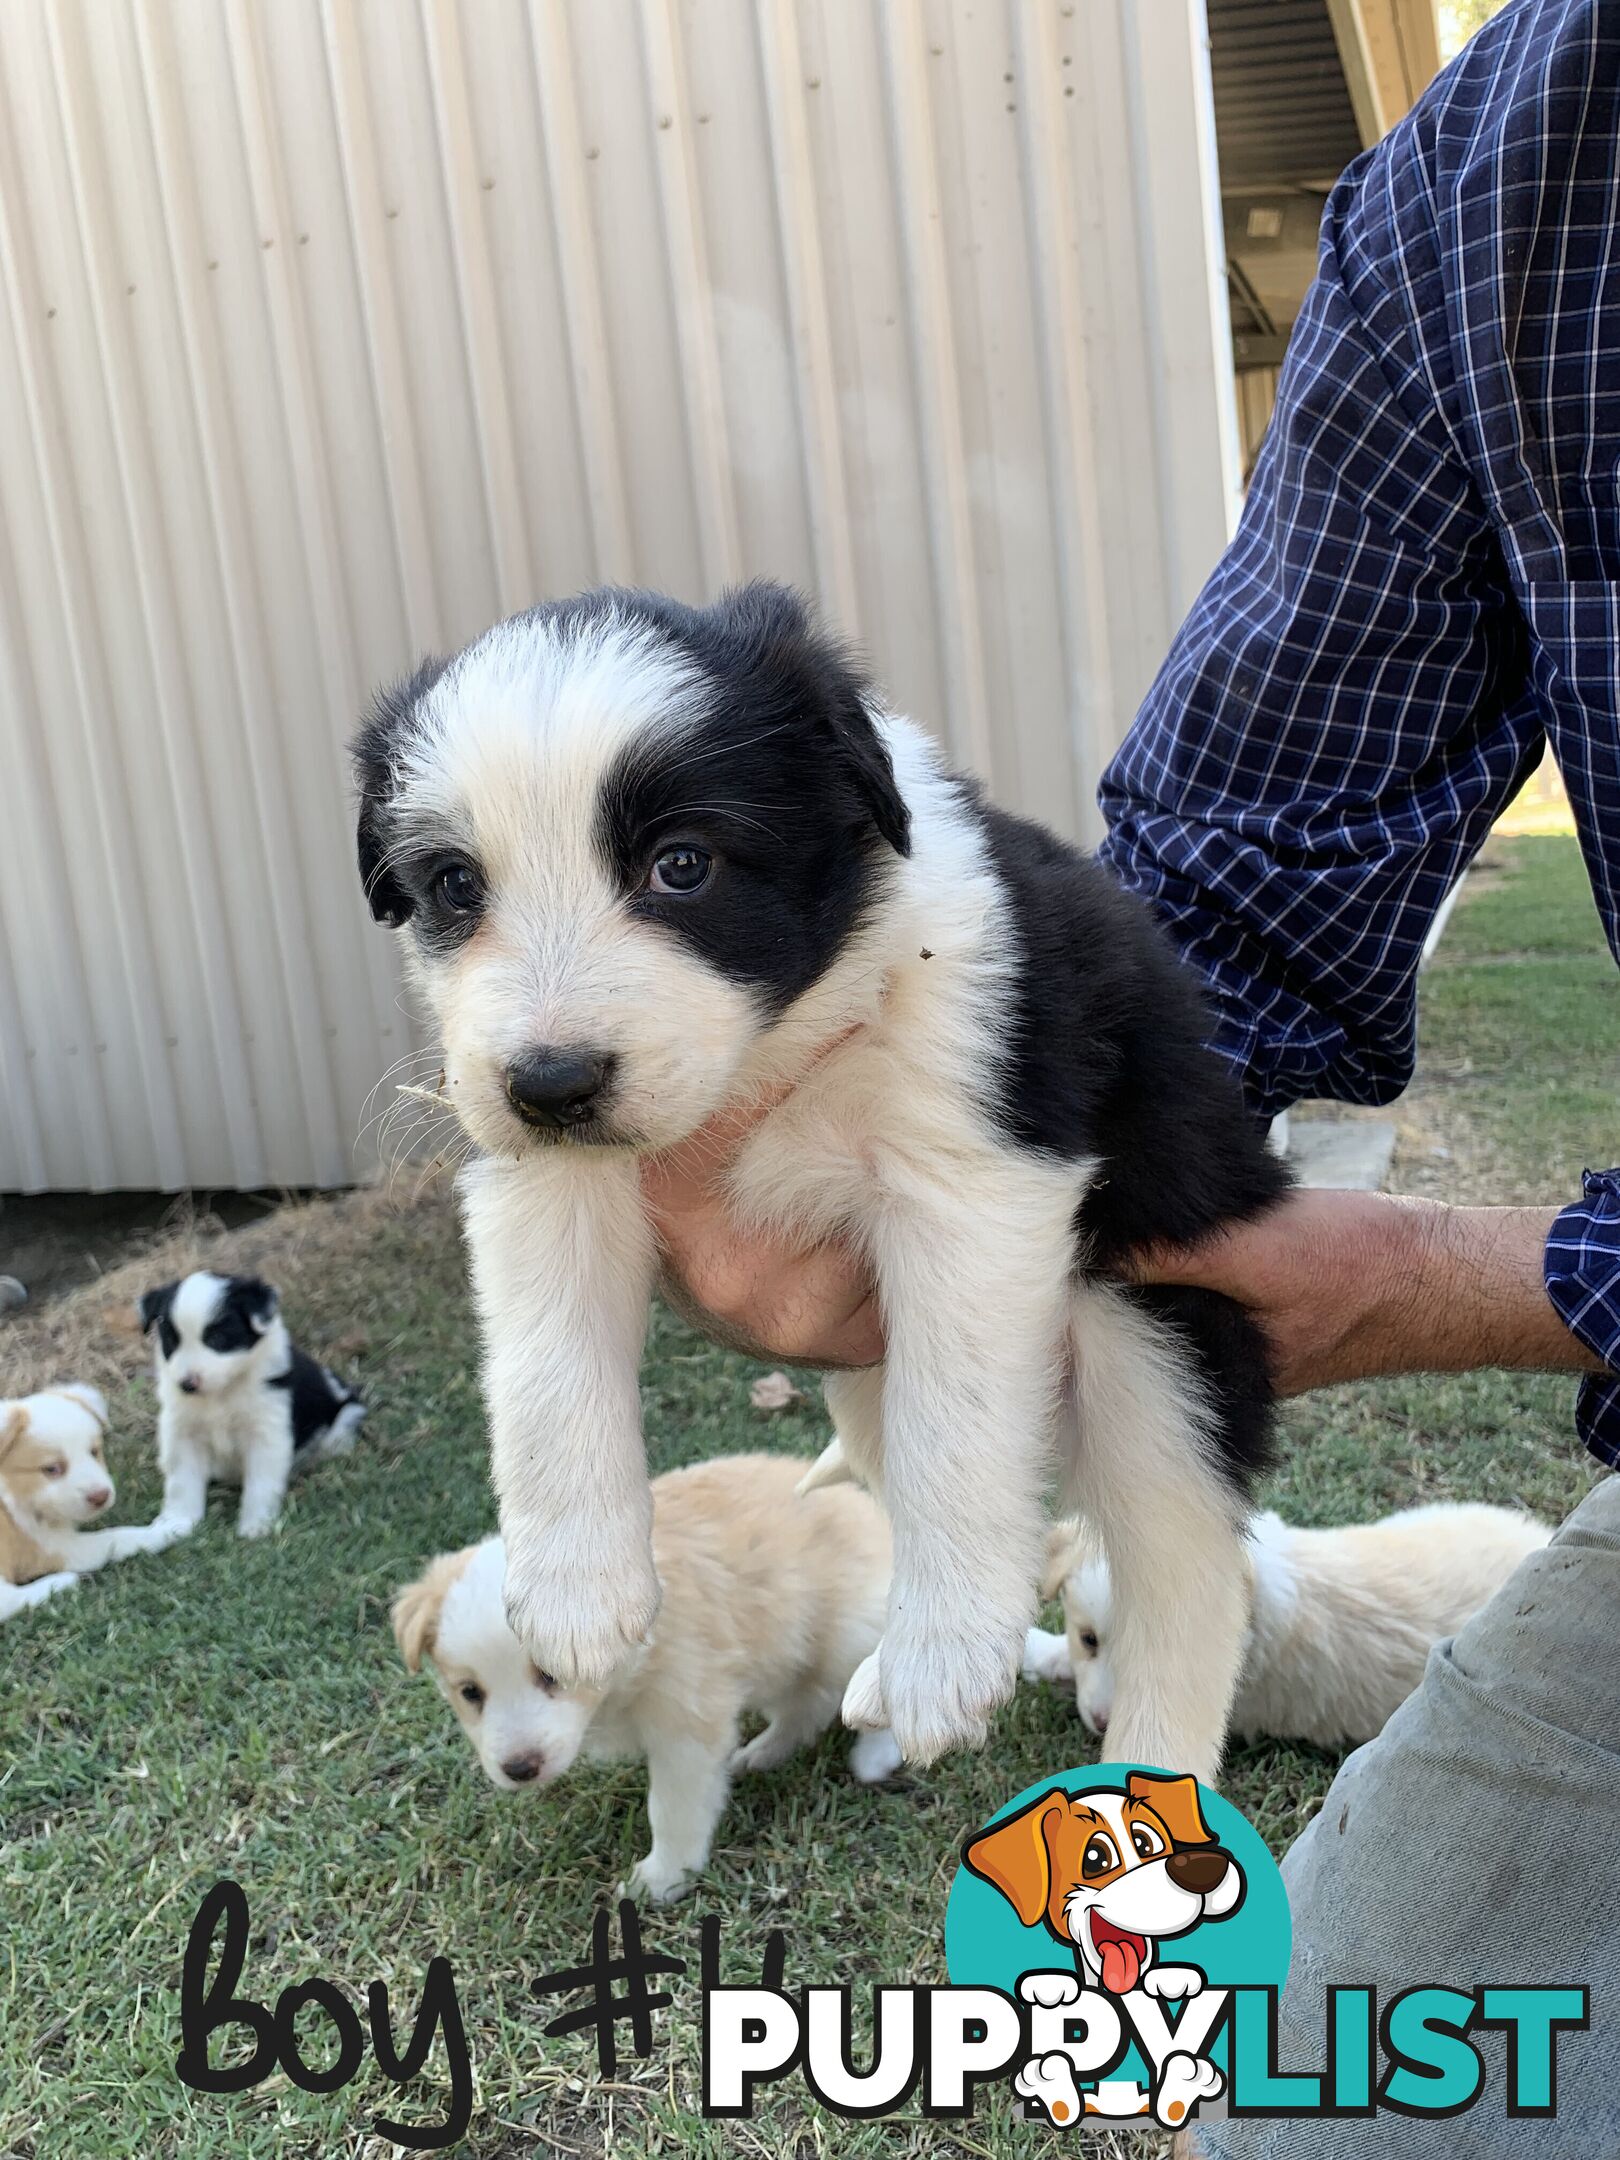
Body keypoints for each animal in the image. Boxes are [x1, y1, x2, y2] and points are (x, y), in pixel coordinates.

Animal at [0, 1382, 176, 1624]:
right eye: (51, 1469)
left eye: (94, 1452)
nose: (101, 1496)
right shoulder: (56, 1545)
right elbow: (117, 1536)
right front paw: (166, 1530)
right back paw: (61, 1582)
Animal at [139, 1270, 367, 1546]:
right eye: (172, 1341)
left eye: (217, 1338)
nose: (187, 1384)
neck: (223, 1392)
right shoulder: (183, 1432)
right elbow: (181, 1482)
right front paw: (176, 1523)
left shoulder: (267, 1431)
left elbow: (261, 1483)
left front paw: (256, 1527)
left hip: (344, 1420)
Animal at [354, 591, 1296, 1788]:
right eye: (454, 885)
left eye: (683, 865)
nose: (552, 1086)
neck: (772, 1056)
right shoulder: (538, 1183)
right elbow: (546, 1371)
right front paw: (576, 1591)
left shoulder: (974, 1175)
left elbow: (959, 1420)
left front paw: (948, 1655)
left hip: (1154, 1332)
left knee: (1185, 1572)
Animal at [390, 1460, 902, 1900]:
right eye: (470, 1692)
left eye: (551, 1674)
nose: (519, 1769)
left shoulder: (687, 1721)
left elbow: (672, 1808)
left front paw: (661, 1879)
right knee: (806, 1707)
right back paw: (761, 1754)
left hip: (849, 1633)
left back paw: (874, 1757)